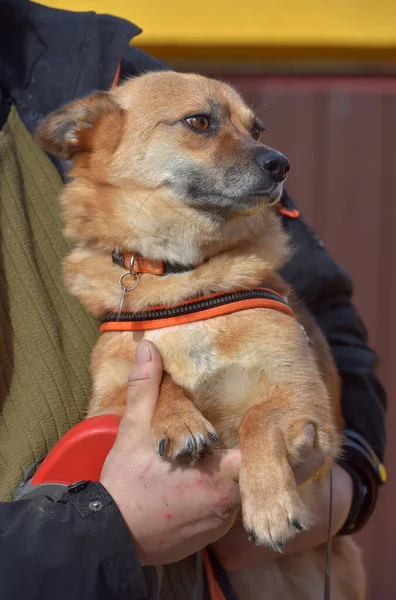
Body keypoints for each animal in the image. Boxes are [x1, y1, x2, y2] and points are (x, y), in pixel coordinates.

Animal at [37, 72, 366, 596]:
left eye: (257, 128)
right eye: (199, 122)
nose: (281, 164)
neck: (183, 281)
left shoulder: (307, 403)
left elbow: (257, 418)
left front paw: (270, 505)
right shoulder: (105, 402)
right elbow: (158, 378)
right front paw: (180, 420)